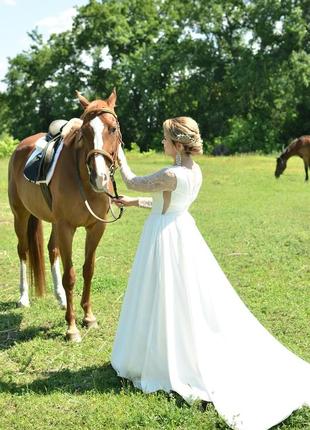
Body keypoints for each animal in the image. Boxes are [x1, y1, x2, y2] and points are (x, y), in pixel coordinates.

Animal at [7, 90, 121, 342]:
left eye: (112, 129)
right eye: (84, 132)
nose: (100, 177)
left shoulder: (96, 228)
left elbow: (88, 270)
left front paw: (88, 317)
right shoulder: (67, 227)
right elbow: (70, 276)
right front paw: (72, 328)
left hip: (53, 222)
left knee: (52, 250)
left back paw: (60, 298)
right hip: (21, 215)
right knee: (23, 251)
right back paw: (24, 297)